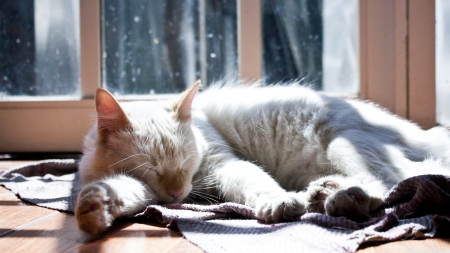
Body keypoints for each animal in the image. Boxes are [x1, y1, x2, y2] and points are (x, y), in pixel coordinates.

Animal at [74, 80, 450, 233]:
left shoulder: (225, 165)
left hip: (343, 145)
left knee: (390, 185)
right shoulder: (143, 187)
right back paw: (324, 193)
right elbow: (119, 190)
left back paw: (342, 200)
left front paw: (278, 204)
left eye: (185, 163)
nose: (177, 194)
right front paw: (94, 209)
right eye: (152, 169)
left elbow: (257, 183)